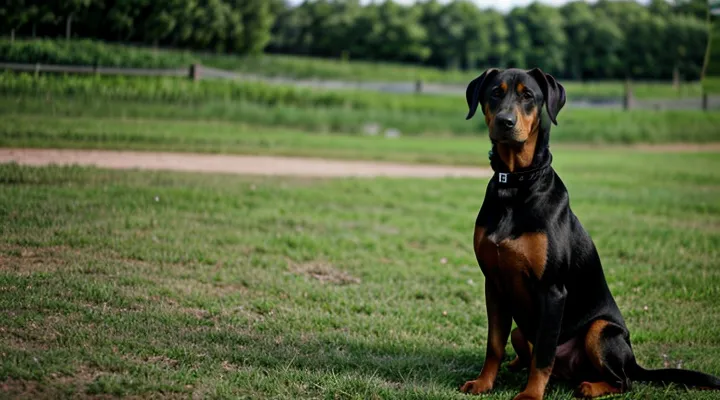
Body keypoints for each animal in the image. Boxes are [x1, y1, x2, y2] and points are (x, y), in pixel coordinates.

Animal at [462, 67, 720, 398]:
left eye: (527, 95)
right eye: (495, 92)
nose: (505, 122)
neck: (516, 184)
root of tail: (634, 361)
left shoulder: (553, 290)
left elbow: (543, 353)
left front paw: (531, 394)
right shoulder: (494, 284)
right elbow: (494, 344)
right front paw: (483, 383)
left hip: (601, 331)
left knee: (624, 381)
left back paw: (590, 386)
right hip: (522, 330)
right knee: (526, 350)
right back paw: (520, 367)